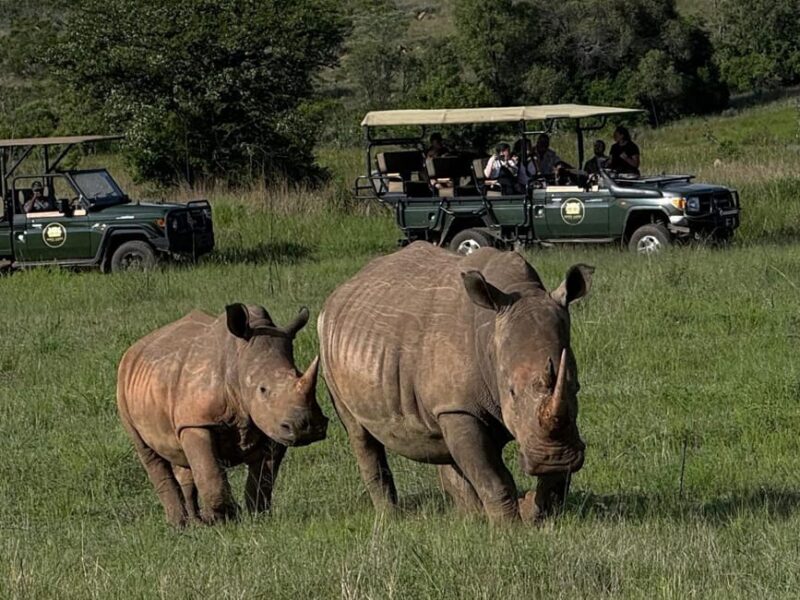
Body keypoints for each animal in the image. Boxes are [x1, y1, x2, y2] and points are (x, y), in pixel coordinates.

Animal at [117, 304, 327, 526]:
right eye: (262, 389)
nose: (306, 427)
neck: (237, 362)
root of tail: (134, 349)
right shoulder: (197, 421)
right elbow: (210, 474)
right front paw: (225, 519)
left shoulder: (273, 425)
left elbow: (263, 478)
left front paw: (258, 516)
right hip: (123, 387)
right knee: (148, 453)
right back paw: (179, 525)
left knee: (183, 460)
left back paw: (196, 523)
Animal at [318, 242, 592, 522]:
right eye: (511, 392)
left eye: (576, 387)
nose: (556, 457)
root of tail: (340, 291)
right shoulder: (458, 407)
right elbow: (493, 478)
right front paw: (508, 526)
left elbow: (552, 477)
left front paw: (540, 511)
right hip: (327, 347)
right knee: (359, 433)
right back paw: (391, 519)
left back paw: (469, 517)